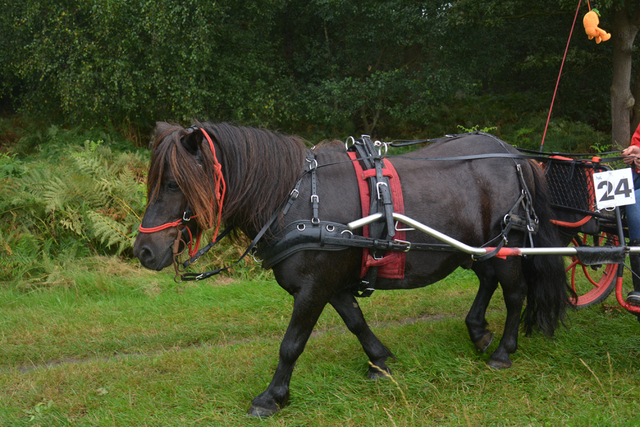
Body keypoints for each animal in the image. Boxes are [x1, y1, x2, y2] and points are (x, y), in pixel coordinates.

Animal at [132, 120, 572, 418]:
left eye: (173, 184)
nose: (144, 251)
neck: (295, 199)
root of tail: (513, 156)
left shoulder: (314, 288)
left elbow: (291, 344)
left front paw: (272, 397)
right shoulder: (333, 285)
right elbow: (356, 321)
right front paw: (381, 361)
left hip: (507, 246)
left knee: (514, 294)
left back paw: (502, 352)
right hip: (475, 250)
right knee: (487, 282)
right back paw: (478, 330)